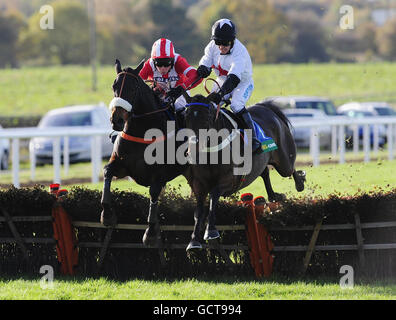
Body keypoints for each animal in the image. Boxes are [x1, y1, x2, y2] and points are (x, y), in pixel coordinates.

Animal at [102, 59, 189, 245]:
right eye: (114, 86)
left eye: (133, 88)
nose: (116, 120)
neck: (142, 132)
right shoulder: (123, 167)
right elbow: (107, 172)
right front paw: (107, 215)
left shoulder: (160, 175)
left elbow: (154, 193)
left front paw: (150, 232)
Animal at [183, 94, 306, 251]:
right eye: (186, 116)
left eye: (206, 117)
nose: (192, 153)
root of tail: (265, 107)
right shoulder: (199, 185)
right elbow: (198, 211)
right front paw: (193, 241)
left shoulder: (228, 181)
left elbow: (213, 196)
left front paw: (210, 231)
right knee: (265, 173)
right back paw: (273, 196)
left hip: (284, 161)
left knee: (291, 168)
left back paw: (300, 181)